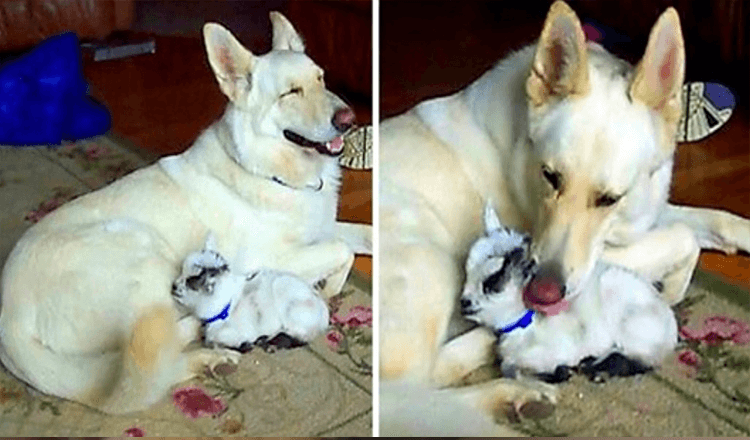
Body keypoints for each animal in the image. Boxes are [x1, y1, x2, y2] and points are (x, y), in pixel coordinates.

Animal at [175, 237, 330, 350]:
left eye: (190, 282)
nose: (173, 286)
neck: (226, 306)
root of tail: (324, 314)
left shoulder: (237, 331)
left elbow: (218, 341)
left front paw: (245, 345)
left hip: (293, 309)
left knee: (299, 337)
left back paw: (269, 343)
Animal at [462, 205, 680, 382]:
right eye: (493, 280)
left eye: (522, 241)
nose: (520, 250)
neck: (526, 325)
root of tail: (673, 328)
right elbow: (510, 370)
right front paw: (556, 373)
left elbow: (512, 369)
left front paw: (563, 371)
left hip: (625, 314)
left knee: (643, 360)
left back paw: (598, 369)